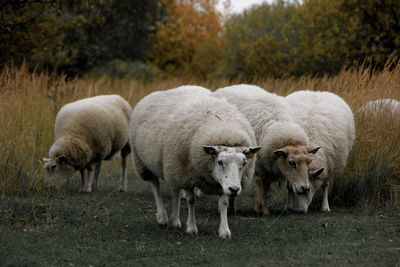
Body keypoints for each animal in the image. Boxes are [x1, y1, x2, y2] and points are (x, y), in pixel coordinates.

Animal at [214, 85, 320, 217]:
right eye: (291, 162)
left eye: (309, 162)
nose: (305, 188)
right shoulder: (258, 167)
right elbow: (260, 185)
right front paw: (261, 210)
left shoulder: (269, 167)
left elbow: (266, 187)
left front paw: (263, 206)